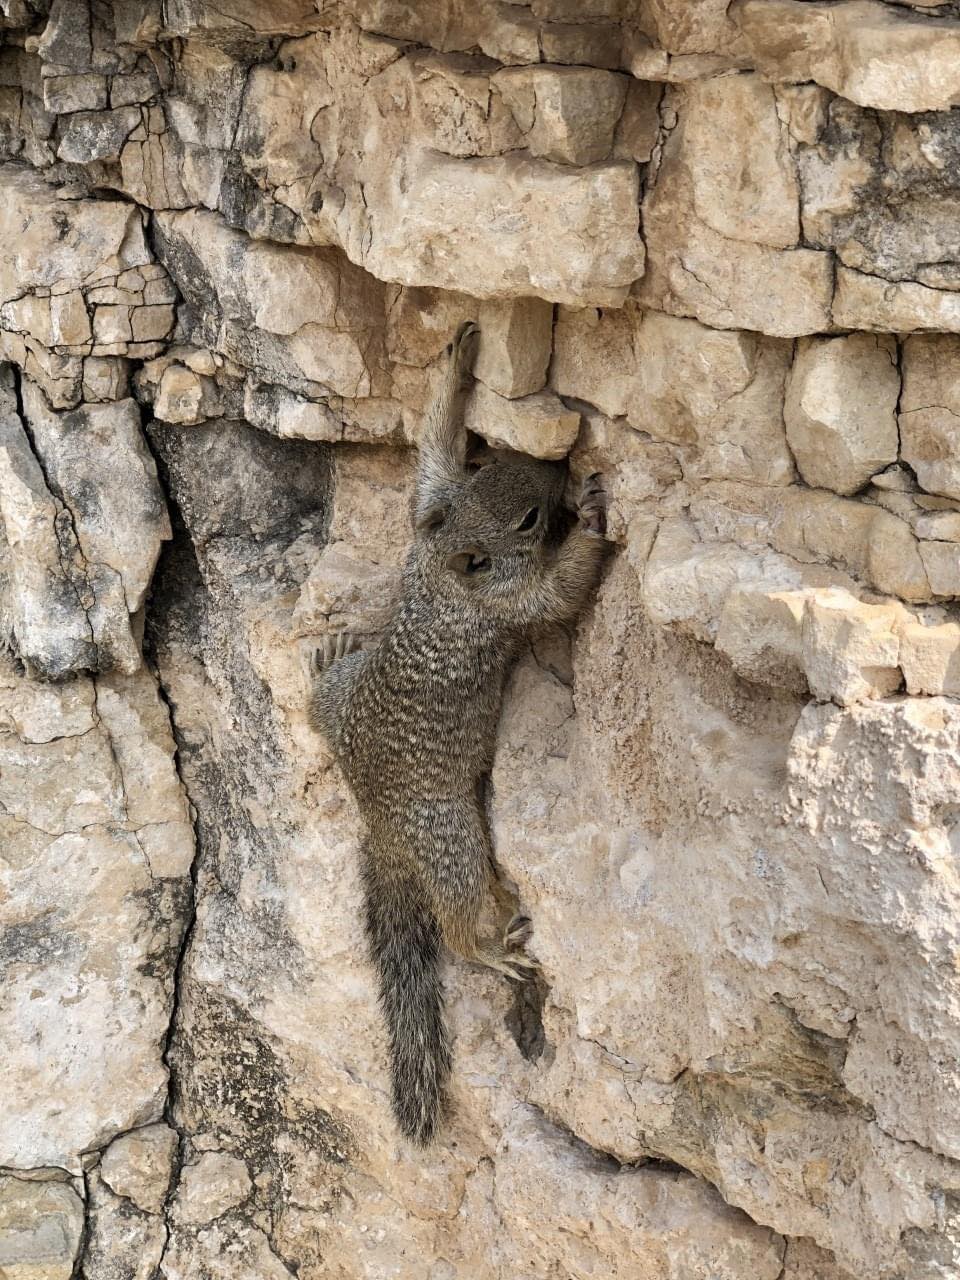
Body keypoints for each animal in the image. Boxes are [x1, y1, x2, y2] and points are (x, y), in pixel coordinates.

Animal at [308, 322, 609, 1152]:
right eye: (530, 519)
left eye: (495, 463)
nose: (556, 472)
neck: (451, 571)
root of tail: (378, 828)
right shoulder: (515, 601)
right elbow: (560, 589)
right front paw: (594, 519)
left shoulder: (429, 511)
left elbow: (430, 457)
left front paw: (458, 357)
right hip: (450, 841)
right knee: (458, 916)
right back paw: (492, 948)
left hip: (346, 713)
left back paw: (323, 667)